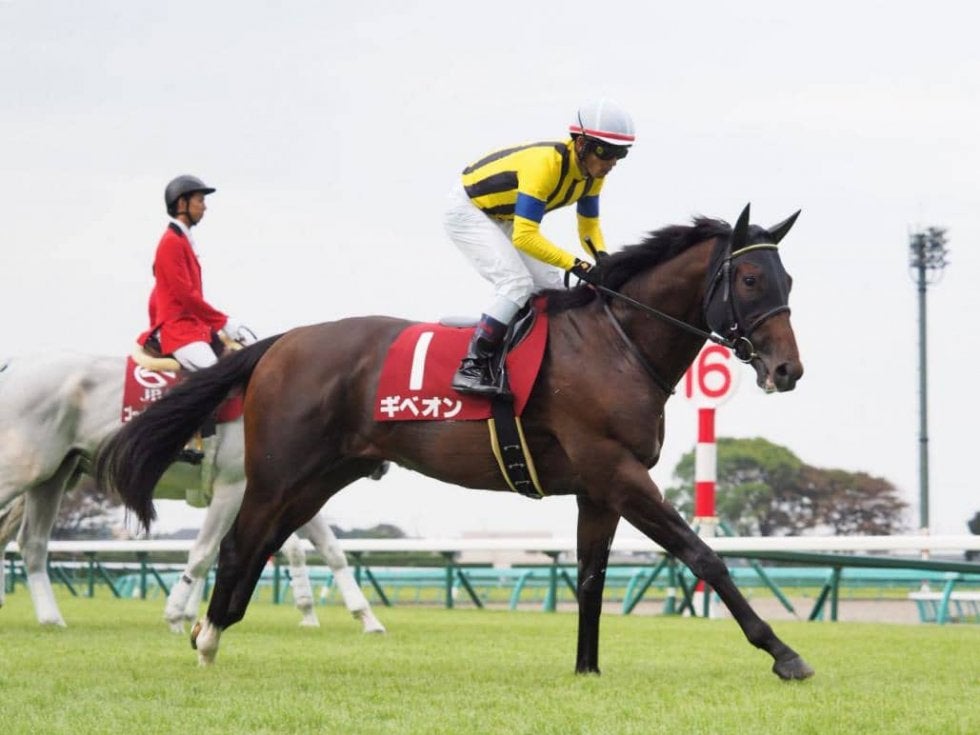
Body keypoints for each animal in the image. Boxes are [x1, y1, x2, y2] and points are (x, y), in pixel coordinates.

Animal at [0, 353, 385, 634]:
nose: (380, 465)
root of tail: (14, 368)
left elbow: (331, 550)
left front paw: (366, 618)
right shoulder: (235, 487)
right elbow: (205, 552)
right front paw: (176, 615)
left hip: (54, 475)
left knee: (31, 542)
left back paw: (51, 618)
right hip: (24, 469)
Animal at [96, 205, 814, 680]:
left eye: (789, 283)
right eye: (750, 281)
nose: (787, 370)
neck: (617, 342)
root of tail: (281, 342)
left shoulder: (599, 487)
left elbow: (589, 577)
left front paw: (586, 669)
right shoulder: (618, 472)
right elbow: (705, 555)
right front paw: (784, 653)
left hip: (321, 475)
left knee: (262, 545)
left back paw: (211, 628)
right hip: (277, 472)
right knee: (241, 544)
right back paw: (208, 638)